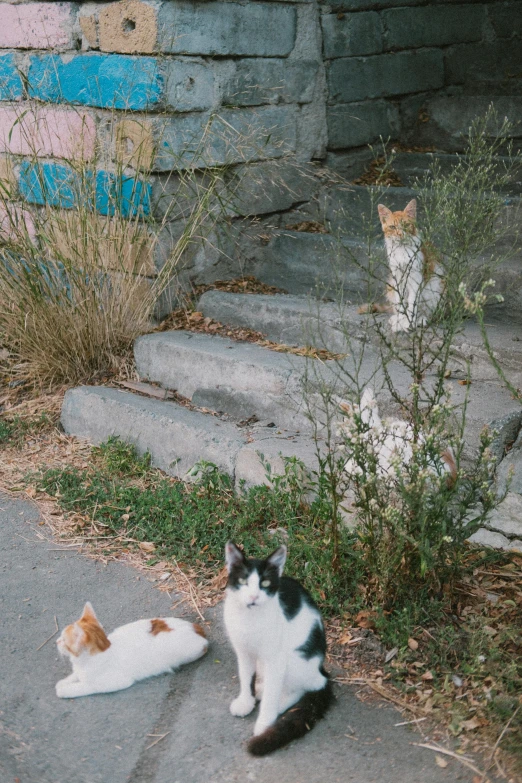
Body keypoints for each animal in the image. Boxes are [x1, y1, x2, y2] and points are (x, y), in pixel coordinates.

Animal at [53, 604, 206, 696]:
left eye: (63, 640)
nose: (56, 641)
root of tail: (198, 629)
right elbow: (75, 675)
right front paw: (64, 682)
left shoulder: (114, 683)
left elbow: (85, 687)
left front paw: (63, 690)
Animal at [221, 544, 332, 756]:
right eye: (243, 581)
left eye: (264, 583)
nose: (254, 597)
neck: (250, 618)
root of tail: (321, 669)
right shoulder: (244, 651)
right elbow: (246, 677)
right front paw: (245, 702)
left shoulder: (276, 660)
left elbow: (272, 694)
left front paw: (264, 724)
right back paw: (260, 689)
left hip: (296, 661)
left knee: (306, 686)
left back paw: (279, 705)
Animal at [362, 198, 442, 332]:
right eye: (392, 227)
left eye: (405, 225)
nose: (400, 234)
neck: (401, 250)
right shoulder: (397, 278)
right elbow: (400, 302)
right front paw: (400, 321)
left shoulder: (416, 279)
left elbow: (412, 303)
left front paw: (409, 324)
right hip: (390, 285)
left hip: (436, 285)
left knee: (428, 311)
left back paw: (421, 319)